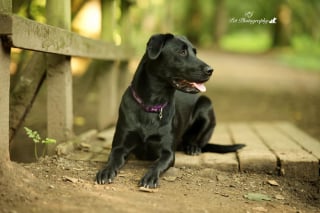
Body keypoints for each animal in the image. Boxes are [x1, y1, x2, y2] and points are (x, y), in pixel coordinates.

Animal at [96, 33, 244, 188]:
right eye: (182, 52)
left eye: (195, 52)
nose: (210, 70)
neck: (152, 104)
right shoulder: (119, 147)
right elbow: (113, 159)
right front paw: (106, 171)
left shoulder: (167, 153)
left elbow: (156, 164)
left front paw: (150, 177)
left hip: (206, 104)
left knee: (198, 141)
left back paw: (192, 147)